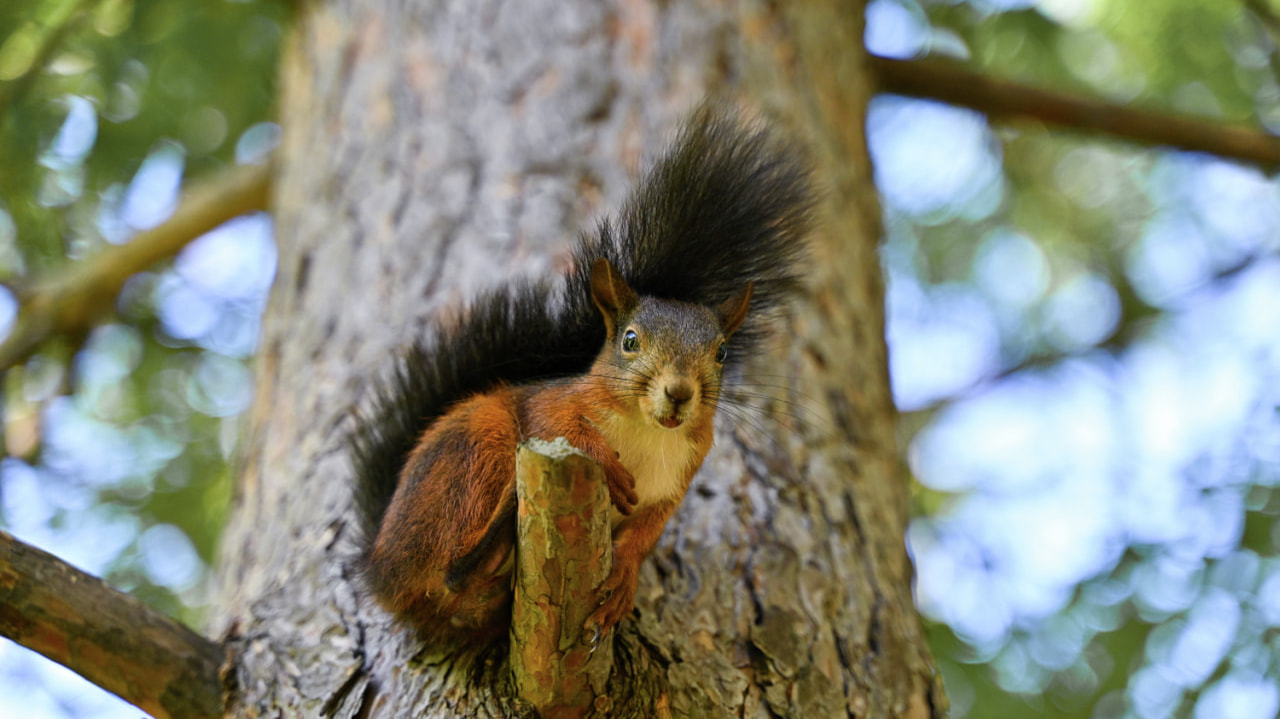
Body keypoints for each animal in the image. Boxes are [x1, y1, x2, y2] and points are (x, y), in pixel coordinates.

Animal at [350, 106, 808, 637]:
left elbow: (644, 535)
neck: (647, 432)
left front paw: (624, 579)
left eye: (722, 354)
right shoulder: (555, 403)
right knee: (449, 571)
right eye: (629, 340)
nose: (678, 392)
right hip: (479, 445)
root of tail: (381, 567)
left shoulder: (672, 487)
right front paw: (605, 460)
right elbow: (558, 424)